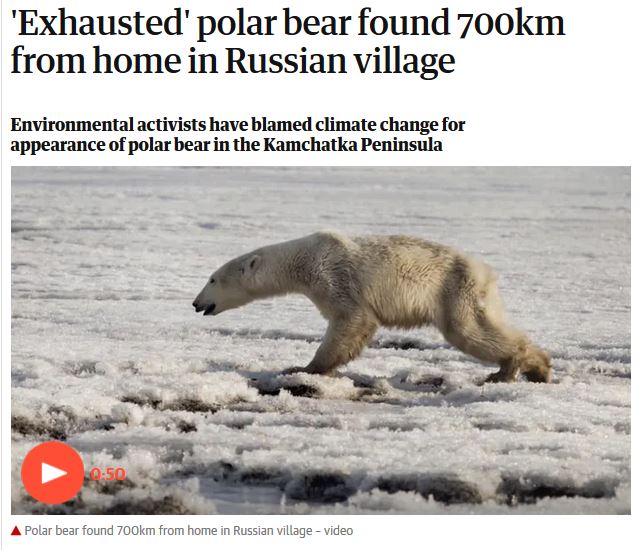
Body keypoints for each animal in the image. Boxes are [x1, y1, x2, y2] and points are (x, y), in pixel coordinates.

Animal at [192, 231, 552, 383]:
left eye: (212, 279)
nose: (196, 304)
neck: (304, 259)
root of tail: (486, 272)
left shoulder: (334, 277)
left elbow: (352, 320)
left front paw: (302, 368)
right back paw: (537, 367)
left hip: (454, 289)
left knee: (469, 331)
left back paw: (510, 369)